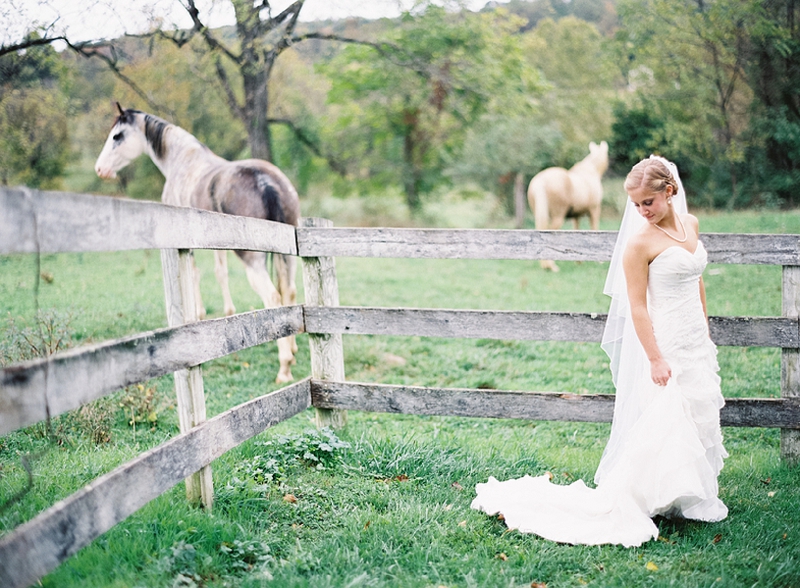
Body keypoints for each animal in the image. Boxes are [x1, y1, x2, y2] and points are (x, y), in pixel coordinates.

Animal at [95, 104, 302, 384]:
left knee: (272, 296)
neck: (182, 161)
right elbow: (220, 272)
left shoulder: (185, 242)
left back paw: (284, 366)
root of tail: (265, 181)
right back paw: (292, 349)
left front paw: (199, 315)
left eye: (117, 136)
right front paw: (227, 312)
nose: (100, 169)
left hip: (253, 260)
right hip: (286, 256)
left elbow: (193, 274)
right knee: (288, 291)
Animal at [528, 141, 608, 272]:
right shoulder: (595, 210)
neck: (590, 171)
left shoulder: (576, 216)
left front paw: (578, 260)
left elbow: (576, 231)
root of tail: (540, 181)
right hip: (558, 217)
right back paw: (552, 266)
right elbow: (595, 229)